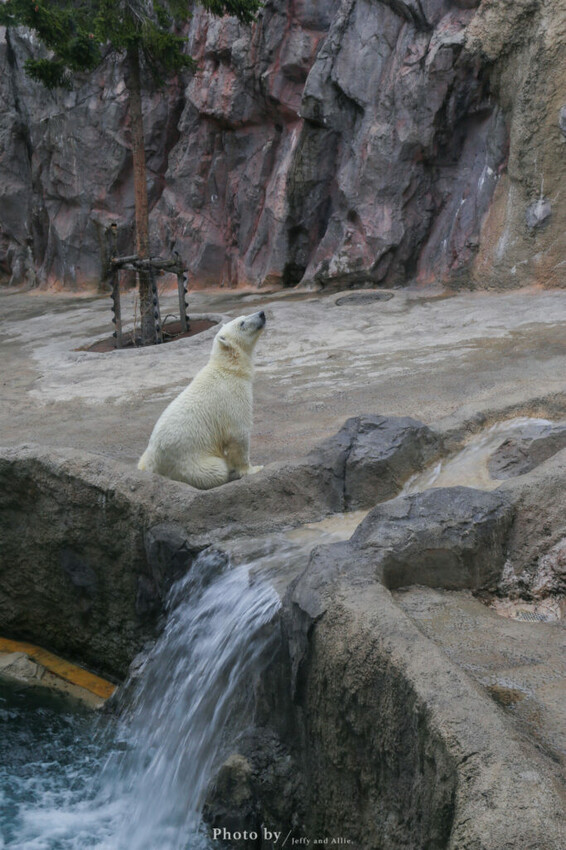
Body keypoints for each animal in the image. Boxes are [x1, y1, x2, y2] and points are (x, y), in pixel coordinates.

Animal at [137, 310, 266, 489]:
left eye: (244, 316)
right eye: (242, 323)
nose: (262, 313)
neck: (229, 368)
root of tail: (154, 464)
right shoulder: (232, 396)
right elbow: (238, 434)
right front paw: (253, 469)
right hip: (189, 463)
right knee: (216, 470)